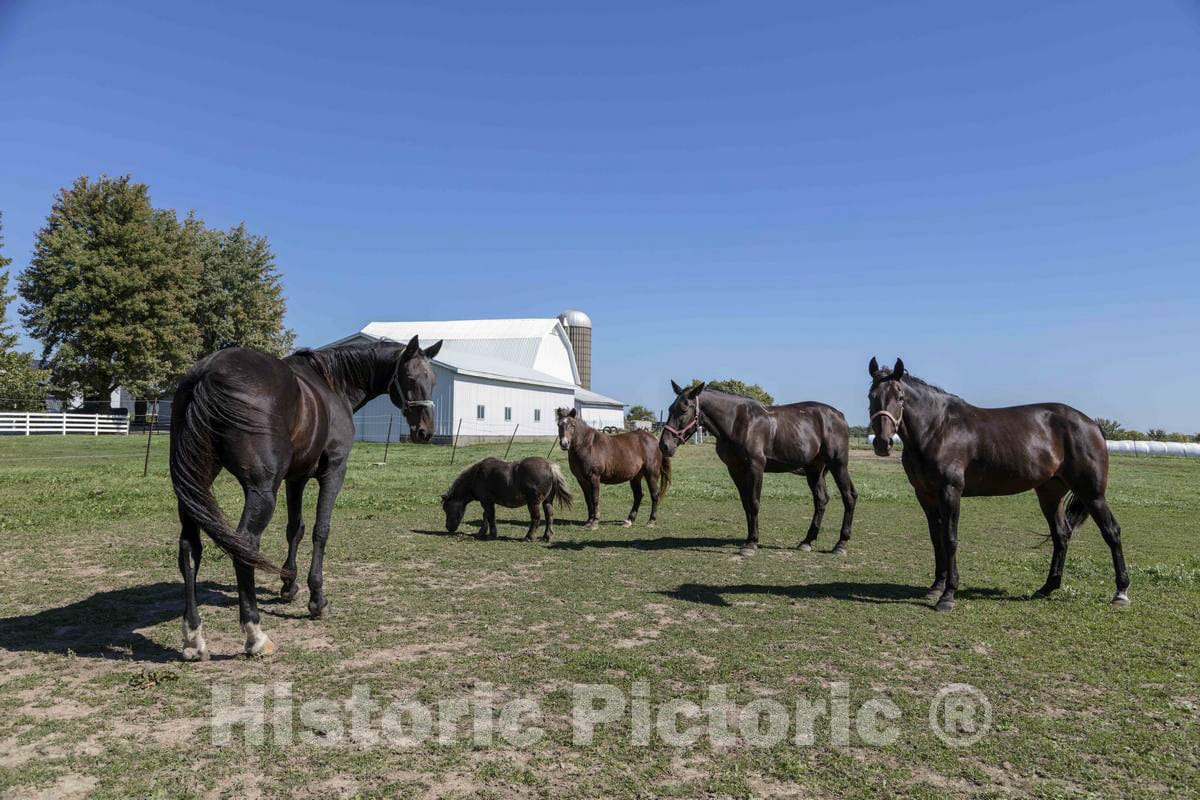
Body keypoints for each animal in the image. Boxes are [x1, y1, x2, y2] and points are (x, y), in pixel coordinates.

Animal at [169, 335, 442, 660]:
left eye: (433, 380)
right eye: (410, 377)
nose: (425, 431)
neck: (333, 383)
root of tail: (207, 374)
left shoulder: (295, 478)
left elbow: (294, 529)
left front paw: (289, 585)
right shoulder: (334, 470)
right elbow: (320, 531)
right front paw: (317, 599)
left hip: (194, 489)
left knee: (190, 548)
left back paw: (193, 638)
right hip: (261, 490)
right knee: (244, 543)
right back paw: (255, 635)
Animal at [441, 456, 573, 541]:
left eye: (446, 508)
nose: (448, 528)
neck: (475, 476)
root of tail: (550, 467)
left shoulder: (486, 501)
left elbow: (490, 516)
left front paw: (492, 534)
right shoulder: (488, 502)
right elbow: (485, 517)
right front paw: (481, 532)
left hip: (533, 503)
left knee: (536, 518)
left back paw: (529, 537)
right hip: (547, 501)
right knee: (549, 515)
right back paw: (547, 536)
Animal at [659, 380, 858, 557]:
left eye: (684, 410)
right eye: (669, 409)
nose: (665, 445)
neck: (737, 422)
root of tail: (839, 415)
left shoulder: (756, 467)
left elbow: (754, 502)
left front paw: (751, 544)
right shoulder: (736, 470)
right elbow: (746, 504)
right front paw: (749, 539)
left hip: (838, 464)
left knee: (849, 496)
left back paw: (841, 544)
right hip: (814, 470)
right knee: (821, 500)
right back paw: (807, 542)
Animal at [866, 357, 1130, 612]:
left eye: (900, 398)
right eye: (871, 396)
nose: (882, 443)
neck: (938, 428)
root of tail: (1092, 424)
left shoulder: (950, 492)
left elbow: (950, 539)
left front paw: (948, 596)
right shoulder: (925, 495)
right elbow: (936, 538)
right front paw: (935, 587)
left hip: (1092, 494)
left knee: (1111, 531)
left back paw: (1121, 593)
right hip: (1050, 493)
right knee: (1061, 535)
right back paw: (1046, 588)